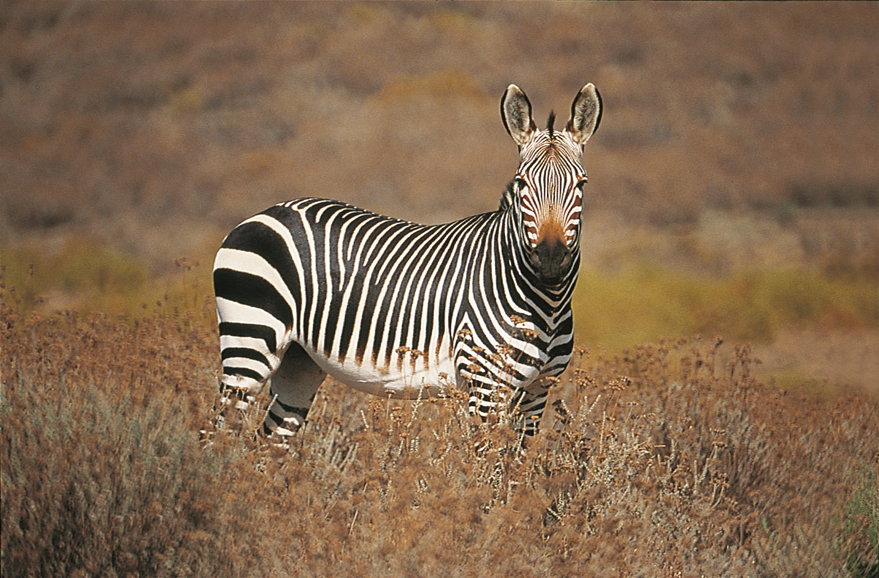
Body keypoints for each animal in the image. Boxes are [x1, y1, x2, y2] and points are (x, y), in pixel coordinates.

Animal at [214, 83, 600, 436]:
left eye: (582, 184)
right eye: (522, 184)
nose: (550, 261)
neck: (547, 302)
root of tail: (270, 211)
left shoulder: (536, 392)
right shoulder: (486, 386)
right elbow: (484, 464)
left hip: (299, 360)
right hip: (249, 339)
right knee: (220, 431)